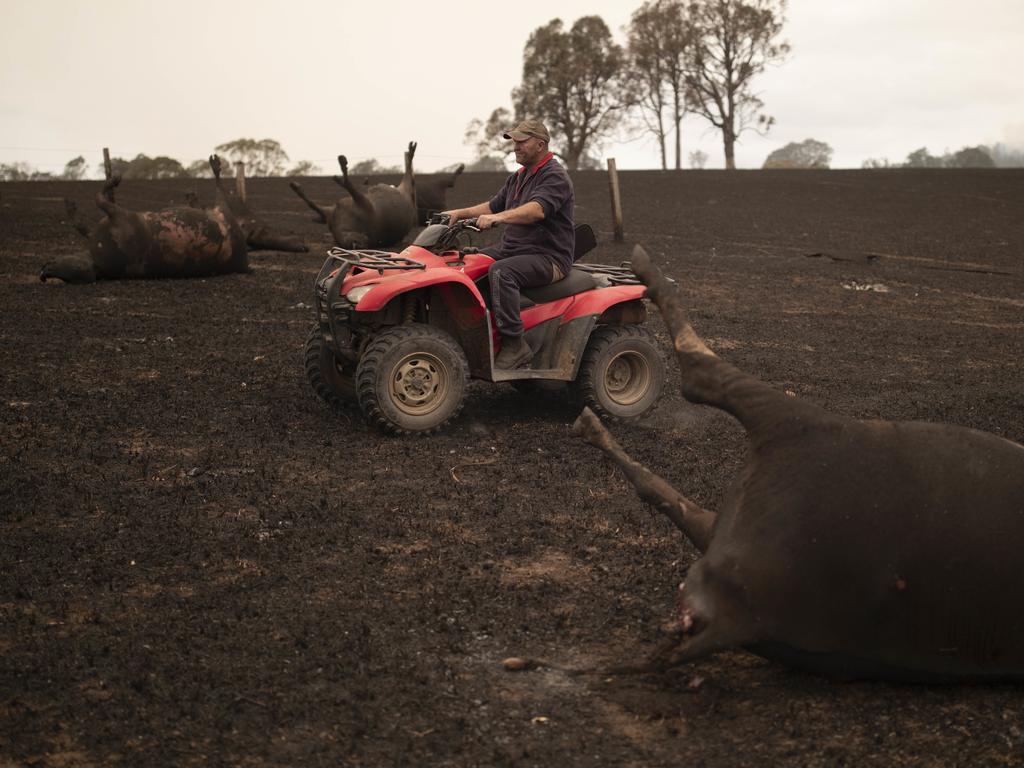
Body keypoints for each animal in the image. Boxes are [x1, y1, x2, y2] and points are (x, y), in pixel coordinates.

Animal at [41, 156, 305, 286]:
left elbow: (96, 201)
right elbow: (91, 210)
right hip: (222, 214)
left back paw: (209, 171)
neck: (96, 264)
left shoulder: (116, 215)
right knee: (219, 192)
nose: (45, 269)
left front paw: (108, 182)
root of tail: (244, 262)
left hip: (222, 213)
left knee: (218, 190)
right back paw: (209, 173)